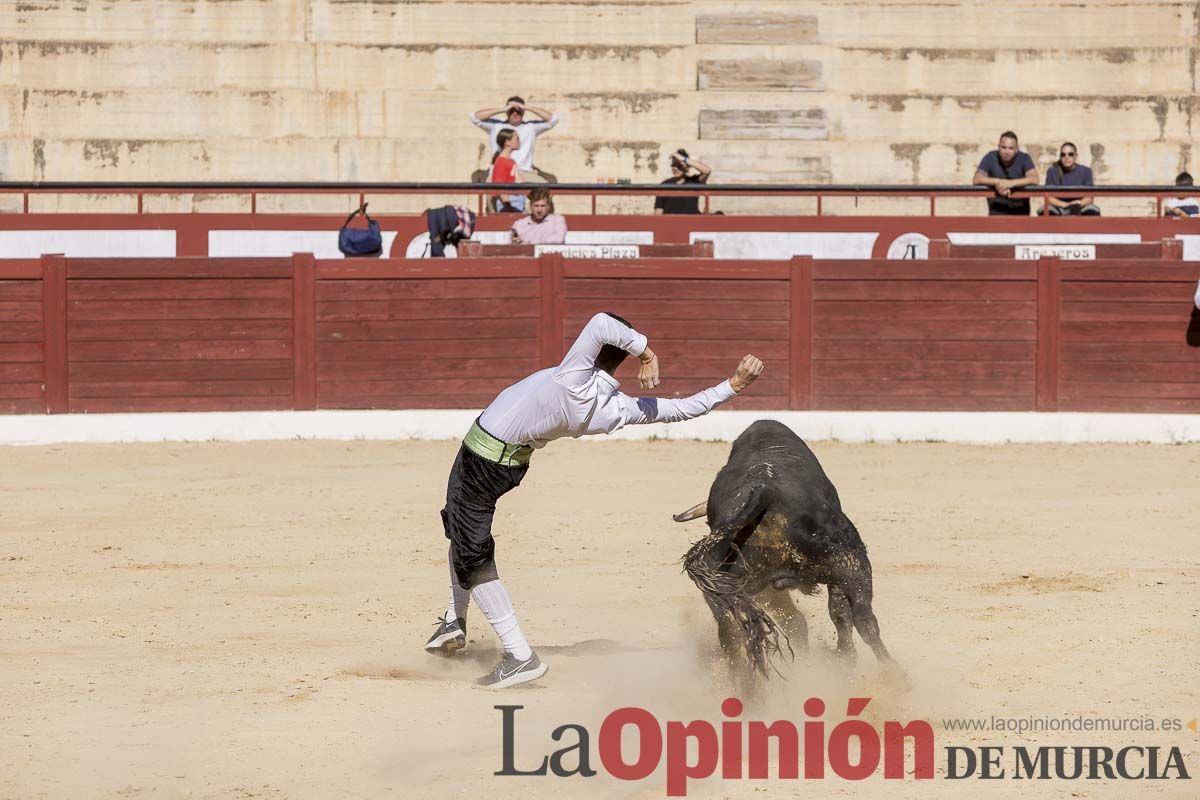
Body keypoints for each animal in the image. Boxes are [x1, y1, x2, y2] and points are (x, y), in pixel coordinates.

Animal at [676, 422, 902, 681]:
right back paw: (890, 671)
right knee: (864, 618)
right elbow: (841, 613)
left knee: (733, 628)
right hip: (852, 561)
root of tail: (766, 490)